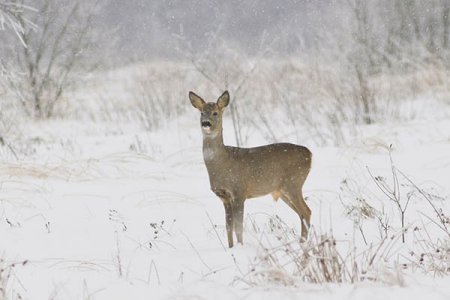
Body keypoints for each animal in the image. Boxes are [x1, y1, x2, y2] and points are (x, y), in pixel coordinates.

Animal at [188, 90, 312, 247]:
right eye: (202, 113)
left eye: (215, 113)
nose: (205, 123)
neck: (222, 164)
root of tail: (310, 154)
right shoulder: (224, 197)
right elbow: (228, 227)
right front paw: (230, 248)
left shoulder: (239, 192)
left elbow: (238, 227)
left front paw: (241, 247)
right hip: (283, 190)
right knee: (302, 213)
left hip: (293, 183)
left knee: (306, 211)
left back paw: (303, 244)